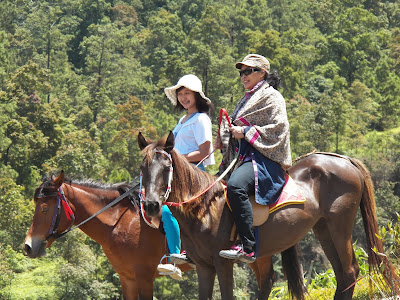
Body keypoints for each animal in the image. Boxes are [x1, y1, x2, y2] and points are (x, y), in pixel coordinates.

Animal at [138, 132, 400, 300]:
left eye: (166, 167)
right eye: (142, 168)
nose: (150, 205)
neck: (204, 210)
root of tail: (344, 160)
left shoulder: (222, 263)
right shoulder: (204, 267)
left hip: (340, 226)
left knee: (349, 271)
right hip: (323, 228)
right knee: (342, 276)